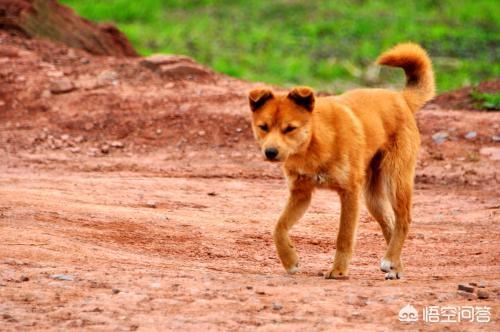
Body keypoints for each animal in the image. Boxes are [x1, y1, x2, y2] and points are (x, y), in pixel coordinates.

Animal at [249, 42, 434, 278]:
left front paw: (338, 271)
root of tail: (401, 98)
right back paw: (395, 267)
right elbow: (278, 228)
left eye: (289, 128)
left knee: (404, 220)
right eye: (263, 127)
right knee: (389, 224)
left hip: (395, 180)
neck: (314, 145)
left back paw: (390, 259)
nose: (270, 152)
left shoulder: (349, 193)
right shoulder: (301, 194)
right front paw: (290, 260)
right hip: (373, 198)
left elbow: (344, 237)